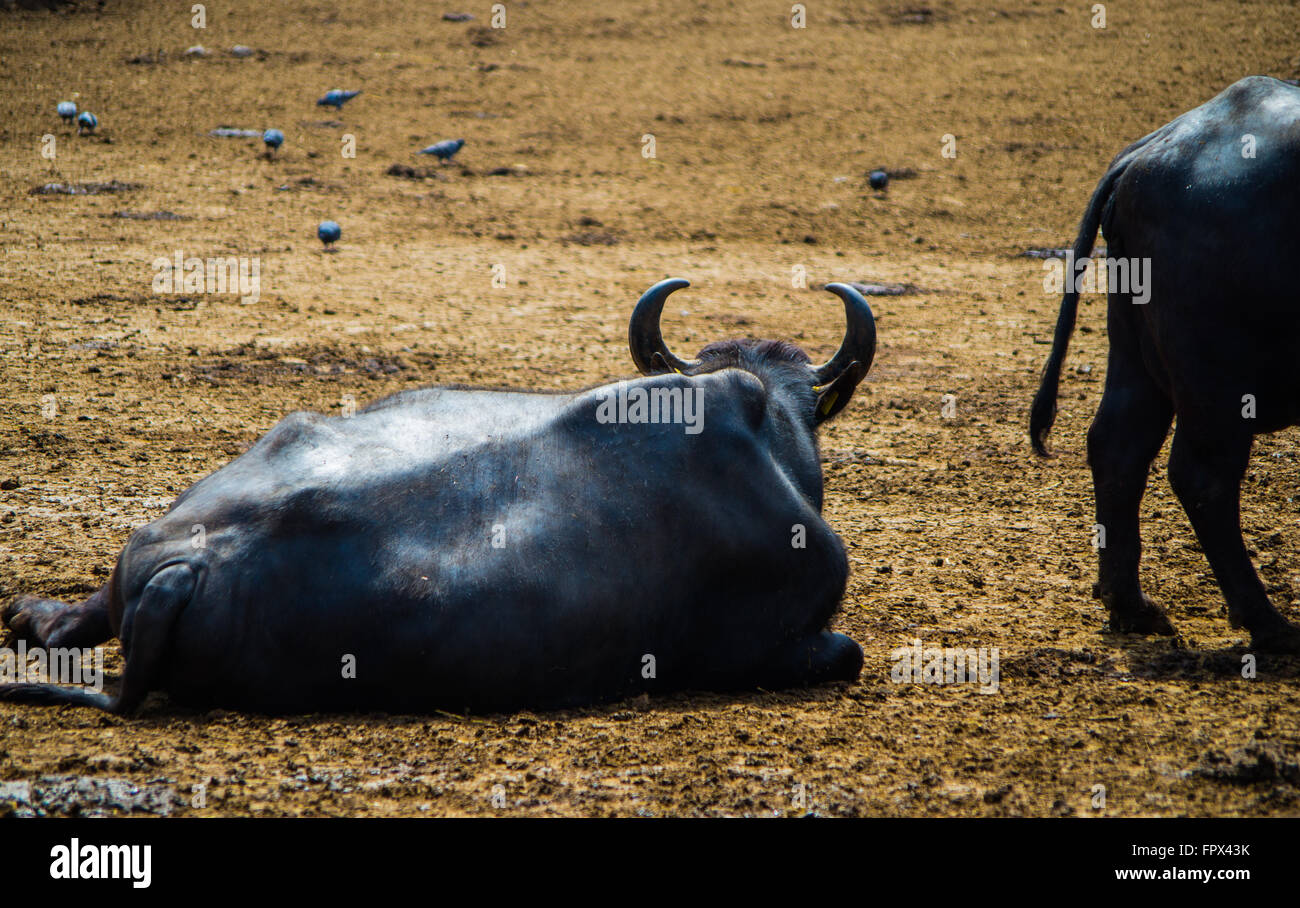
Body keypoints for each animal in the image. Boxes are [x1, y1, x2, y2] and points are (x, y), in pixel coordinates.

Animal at [1029, 74, 1300, 647]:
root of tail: (1148, 152)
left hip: (1135, 346)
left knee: (1118, 446)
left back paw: (1130, 606)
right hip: (1215, 371)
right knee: (1202, 477)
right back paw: (1266, 621)